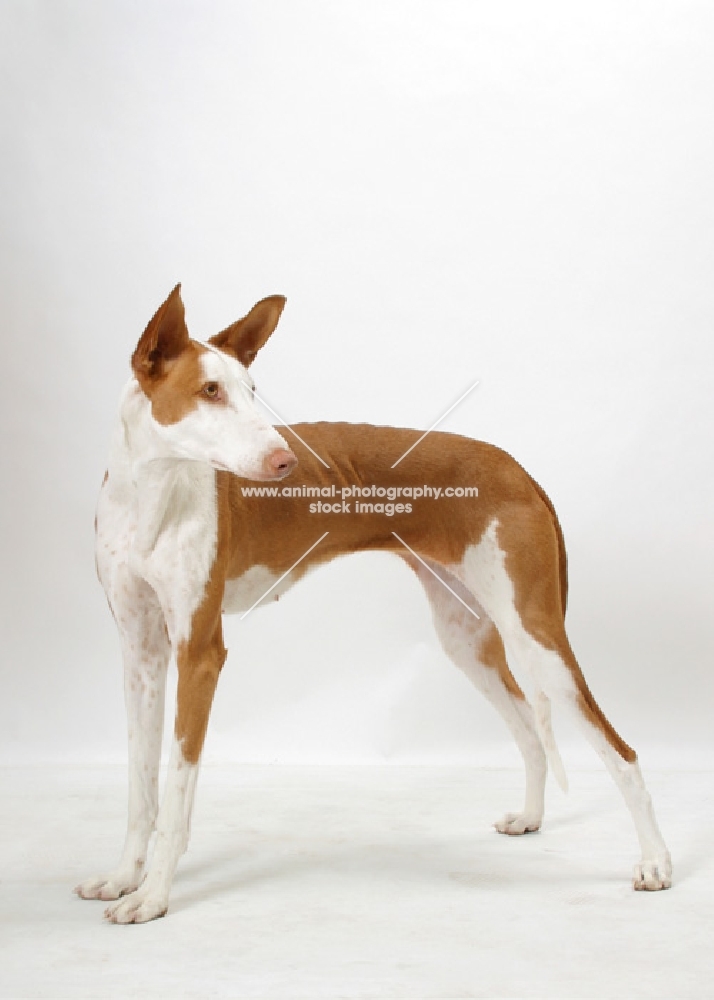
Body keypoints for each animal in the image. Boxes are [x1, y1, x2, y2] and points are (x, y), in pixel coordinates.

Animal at [75, 288, 672, 920]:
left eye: (252, 390)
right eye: (209, 390)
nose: (286, 462)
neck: (152, 496)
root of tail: (518, 469)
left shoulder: (200, 653)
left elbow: (177, 790)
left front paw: (154, 896)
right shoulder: (141, 655)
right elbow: (141, 788)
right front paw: (123, 877)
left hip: (535, 635)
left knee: (622, 752)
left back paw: (656, 862)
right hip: (467, 639)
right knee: (531, 731)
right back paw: (532, 818)